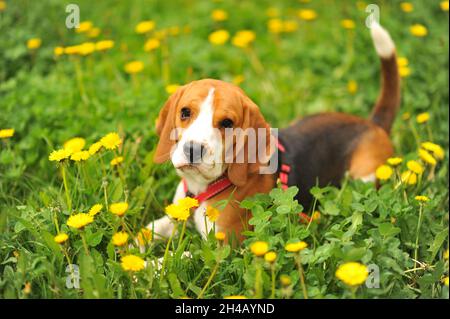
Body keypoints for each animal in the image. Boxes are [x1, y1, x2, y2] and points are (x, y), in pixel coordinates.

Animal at [149, 22, 400, 242]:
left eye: (227, 123)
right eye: (185, 112)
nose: (192, 150)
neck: (201, 188)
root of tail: (372, 124)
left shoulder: (223, 246)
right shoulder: (173, 217)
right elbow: (150, 229)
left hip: (364, 176)